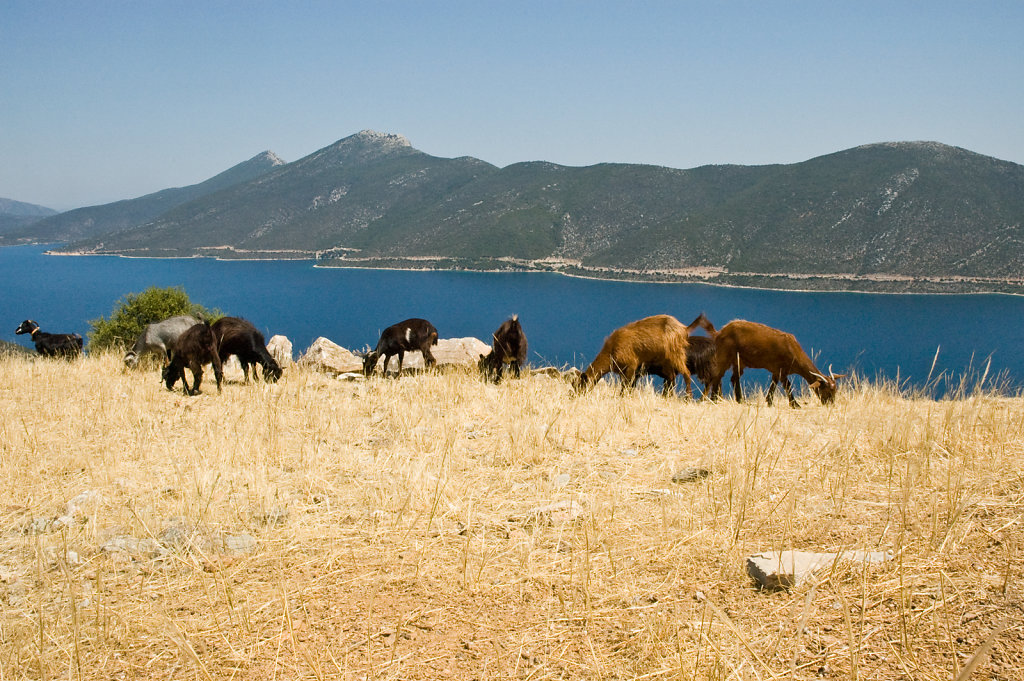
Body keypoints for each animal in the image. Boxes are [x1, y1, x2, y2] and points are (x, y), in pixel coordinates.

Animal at [708, 317, 843, 405]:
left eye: (835, 390)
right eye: (826, 390)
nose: (830, 404)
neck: (792, 349)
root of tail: (720, 332)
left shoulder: (776, 370)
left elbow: (774, 384)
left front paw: (769, 401)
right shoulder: (782, 370)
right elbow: (787, 386)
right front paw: (795, 405)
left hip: (739, 361)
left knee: (734, 378)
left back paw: (740, 400)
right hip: (725, 355)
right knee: (718, 375)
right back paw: (714, 399)